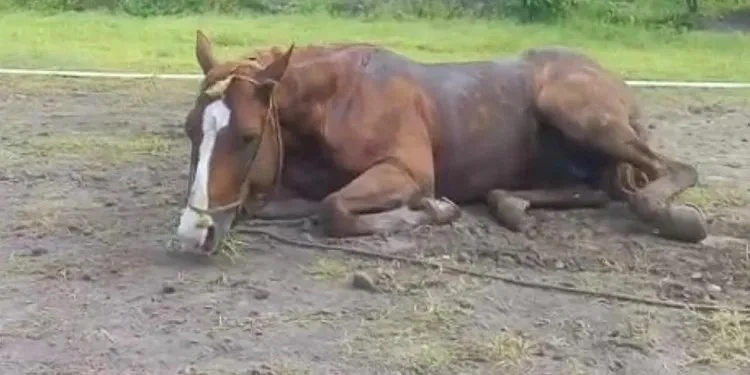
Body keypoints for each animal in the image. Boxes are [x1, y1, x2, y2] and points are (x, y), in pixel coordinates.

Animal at [176, 30, 712, 258]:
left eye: (248, 136)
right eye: (190, 129)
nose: (191, 235)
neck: (338, 99)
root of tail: (611, 79)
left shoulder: (408, 173)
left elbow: (334, 209)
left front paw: (433, 211)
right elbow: (274, 205)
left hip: (575, 111)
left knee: (669, 173)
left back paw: (675, 218)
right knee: (597, 190)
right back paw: (511, 204)